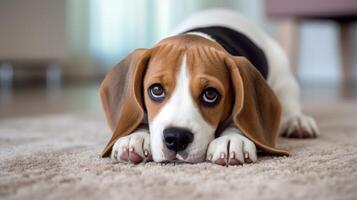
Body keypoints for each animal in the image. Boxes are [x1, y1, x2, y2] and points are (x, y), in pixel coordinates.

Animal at [98, 9, 318, 166]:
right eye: (157, 90)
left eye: (210, 94)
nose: (176, 138)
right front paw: (136, 135)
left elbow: (240, 119)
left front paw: (231, 140)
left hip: (284, 79)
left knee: (289, 104)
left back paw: (298, 122)